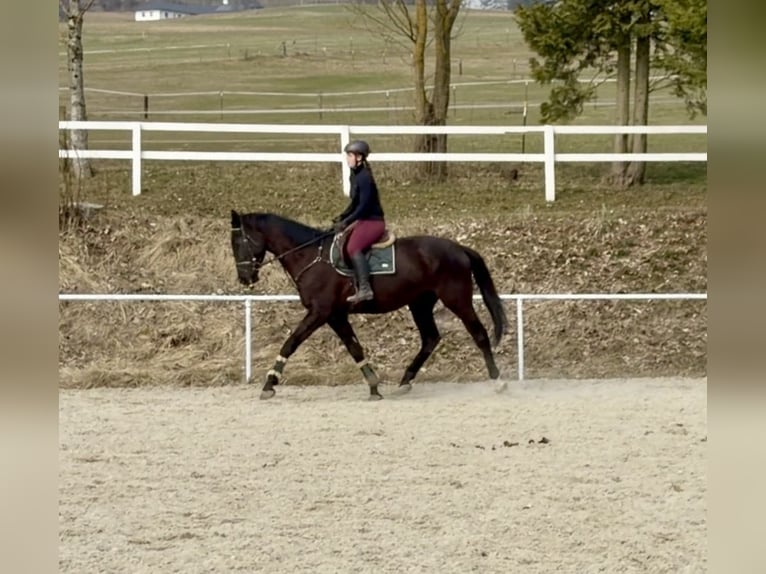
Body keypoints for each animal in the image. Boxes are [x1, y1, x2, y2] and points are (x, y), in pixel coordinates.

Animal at [230, 210, 509, 400]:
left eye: (239, 242)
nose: (245, 278)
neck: (311, 256)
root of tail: (459, 248)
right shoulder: (336, 316)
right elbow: (355, 348)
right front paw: (374, 386)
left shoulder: (320, 312)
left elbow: (291, 343)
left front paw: (269, 384)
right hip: (419, 304)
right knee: (430, 338)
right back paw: (405, 381)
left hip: (457, 300)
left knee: (479, 334)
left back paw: (497, 381)